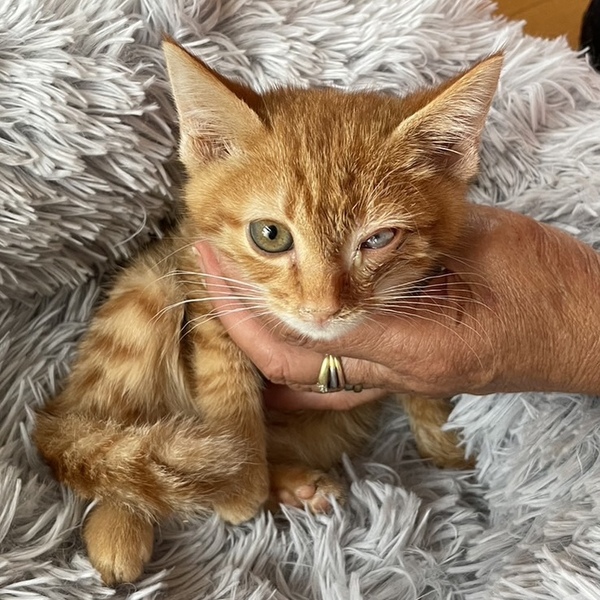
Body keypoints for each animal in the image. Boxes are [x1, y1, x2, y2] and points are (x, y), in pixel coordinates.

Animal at [34, 39, 502, 585]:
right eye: (270, 235)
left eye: (379, 239)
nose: (322, 309)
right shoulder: (203, 281)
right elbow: (225, 379)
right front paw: (240, 482)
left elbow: (419, 383)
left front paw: (442, 439)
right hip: (147, 290)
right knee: (103, 438)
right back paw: (120, 525)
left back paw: (296, 485)